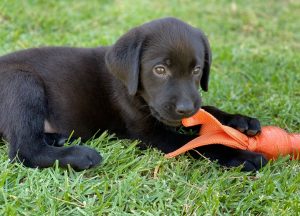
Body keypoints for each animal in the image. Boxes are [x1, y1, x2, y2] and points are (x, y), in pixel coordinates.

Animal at [0, 17, 268, 170]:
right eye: (160, 70)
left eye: (197, 69)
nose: (185, 108)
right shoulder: (150, 134)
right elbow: (197, 144)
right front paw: (241, 155)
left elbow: (207, 112)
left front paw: (239, 120)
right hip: (22, 82)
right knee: (24, 150)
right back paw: (80, 155)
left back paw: (56, 138)